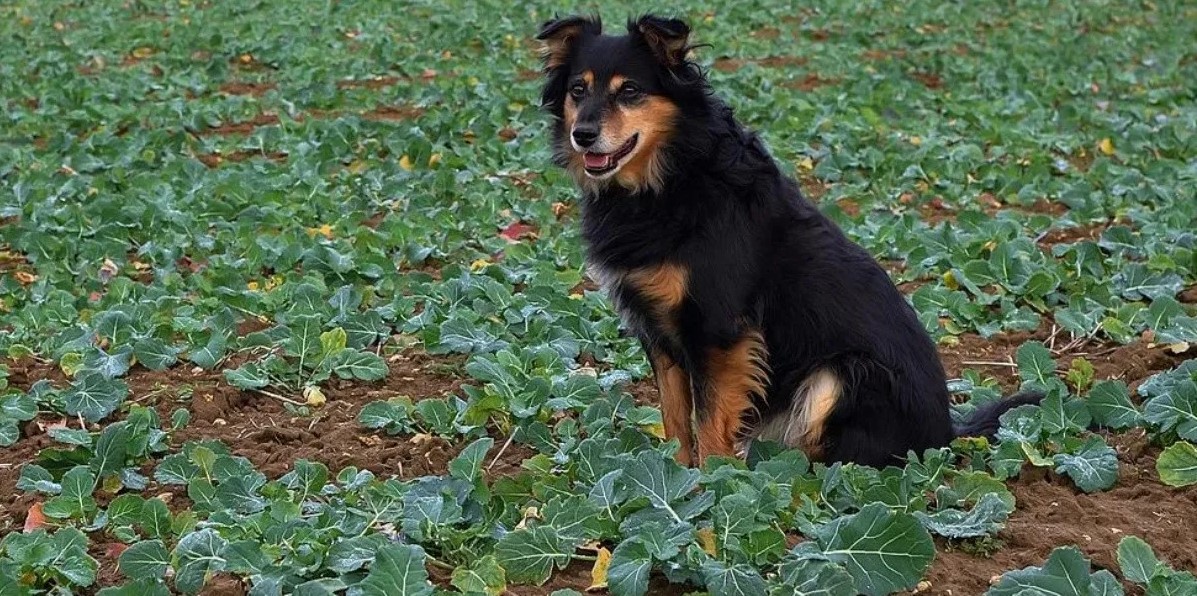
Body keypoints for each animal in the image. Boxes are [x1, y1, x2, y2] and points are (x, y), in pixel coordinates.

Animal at [536, 13, 1038, 469]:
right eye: (577, 90)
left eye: (630, 91)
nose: (583, 135)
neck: (671, 177)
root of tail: (947, 434)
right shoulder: (658, 330)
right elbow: (675, 418)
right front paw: (676, 475)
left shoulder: (718, 329)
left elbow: (710, 420)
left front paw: (716, 483)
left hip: (842, 373)